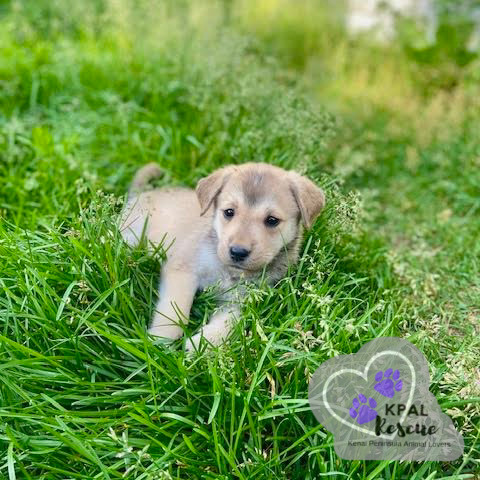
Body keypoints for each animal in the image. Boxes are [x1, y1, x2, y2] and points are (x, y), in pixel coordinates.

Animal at [119, 163, 326, 350]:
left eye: (272, 220)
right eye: (229, 212)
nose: (238, 252)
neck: (225, 269)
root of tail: (143, 193)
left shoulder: (241, 299)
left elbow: (230, 322)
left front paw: (203, 344)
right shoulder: (182, 269)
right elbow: (174, 310)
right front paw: (160, 339)